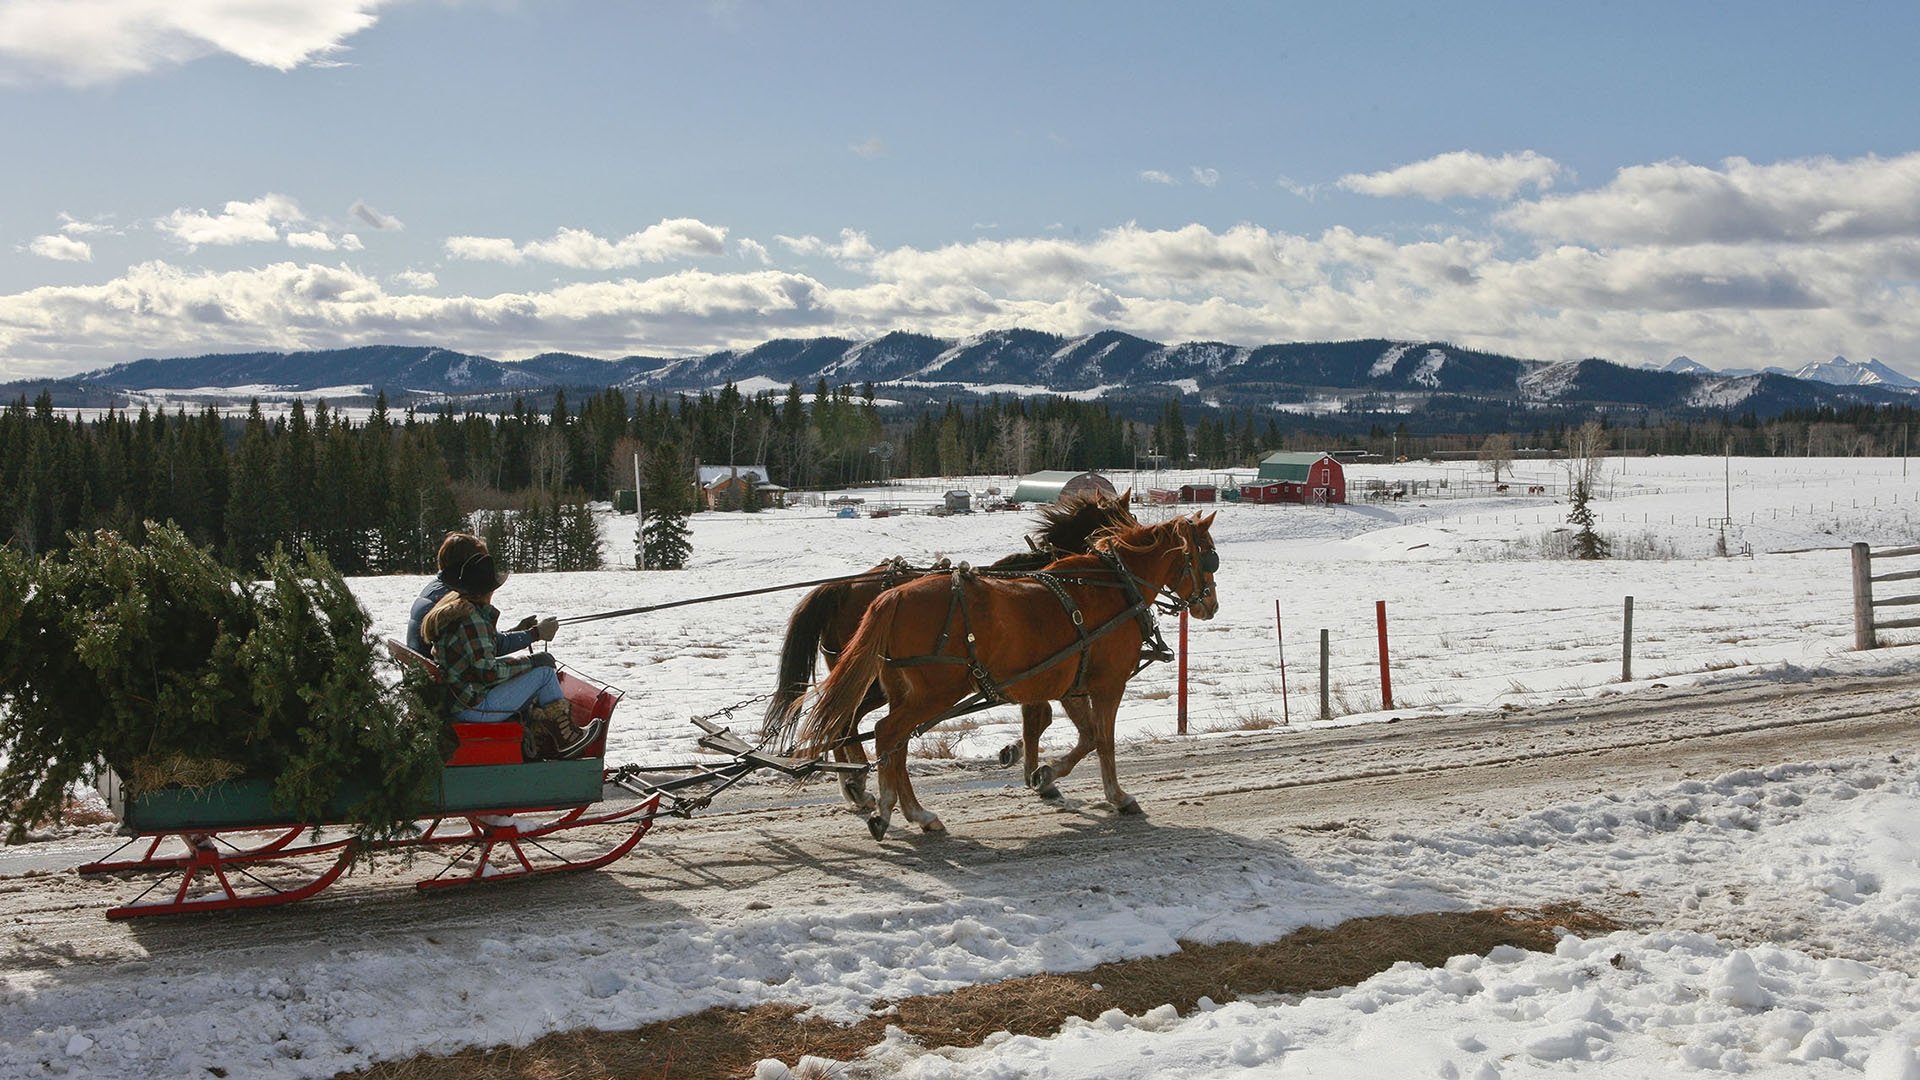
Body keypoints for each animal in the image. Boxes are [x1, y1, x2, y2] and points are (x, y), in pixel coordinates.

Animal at [760, 491, 1136, 803]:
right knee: (845, 722)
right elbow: (1040, 718)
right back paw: (857, 785)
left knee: (842, 720)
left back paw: (856, 784)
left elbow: (1041, 718)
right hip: (876, 683)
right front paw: (1035, 771)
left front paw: (1026, 762)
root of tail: (840, 588)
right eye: (1125, 521)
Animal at [802, 507, 1221, 837]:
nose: (1211, 605)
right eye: (1208, 557)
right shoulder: (1107, 684)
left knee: (889, 741)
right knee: (884, 733)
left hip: (902, 692)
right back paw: (888, 806)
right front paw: (1117, 796)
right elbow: (1102, 740)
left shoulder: (1069, 684)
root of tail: (892, 595)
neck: (1113, 585)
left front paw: (1044, 774)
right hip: (930, 693)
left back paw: (907, 810)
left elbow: (1078, 734)